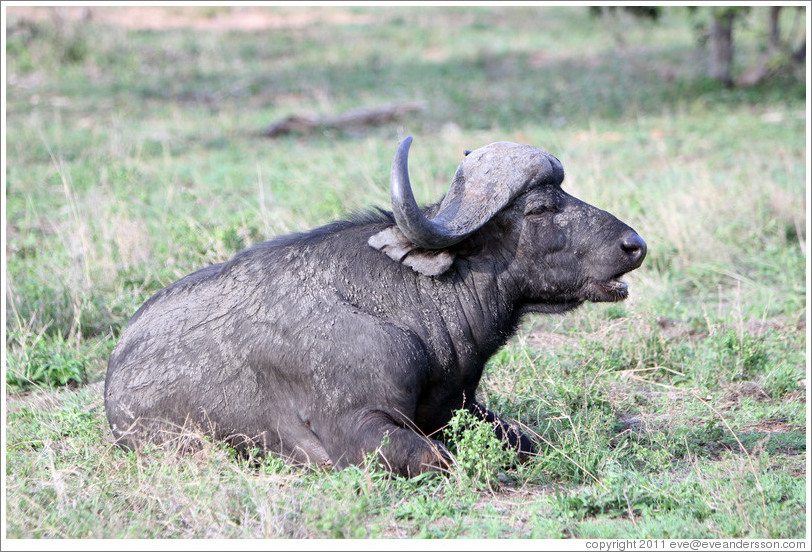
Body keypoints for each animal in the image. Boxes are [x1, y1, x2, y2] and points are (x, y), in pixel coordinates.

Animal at [104, 136, 646, 477]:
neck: (408, 307)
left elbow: (523, 440)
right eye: (540, 209)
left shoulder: (462, 406)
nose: (635, 245)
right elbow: (437, 457)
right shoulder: (358, 427)